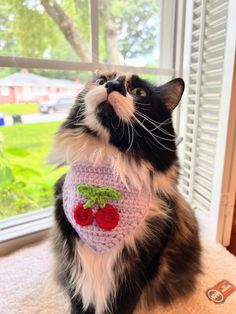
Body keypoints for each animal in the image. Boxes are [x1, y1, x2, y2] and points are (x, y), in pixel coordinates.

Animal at [49, 72, 201, 314]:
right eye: (101, 81)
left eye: (139, 92)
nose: (112, 85)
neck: (107, 163)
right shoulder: (74, 266)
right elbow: (78, 304)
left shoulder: (136, 272)